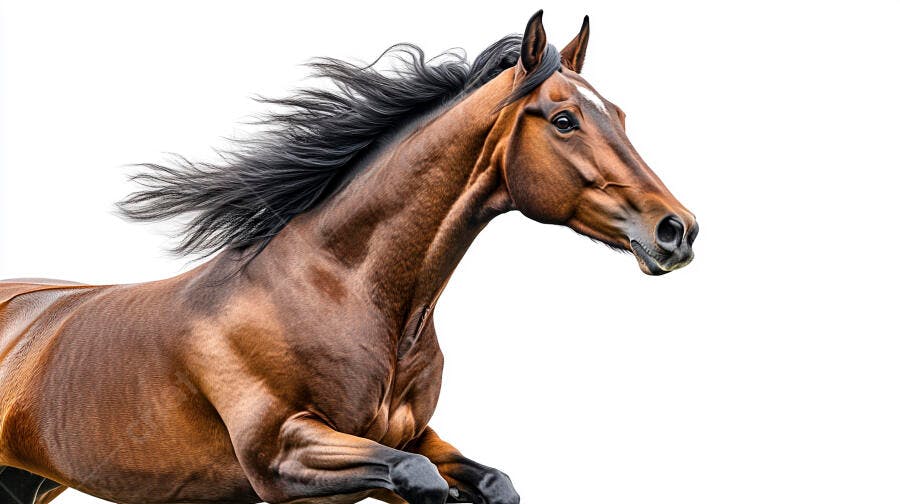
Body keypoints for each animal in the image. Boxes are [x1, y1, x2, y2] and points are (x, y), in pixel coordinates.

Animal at [0, 11, 697, 504]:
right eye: (563, 120)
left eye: (621, 115)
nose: (677, 231)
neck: (340, 290)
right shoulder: (282, 456)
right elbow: (419, 479)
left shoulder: (410, 437)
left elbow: (490, 482)